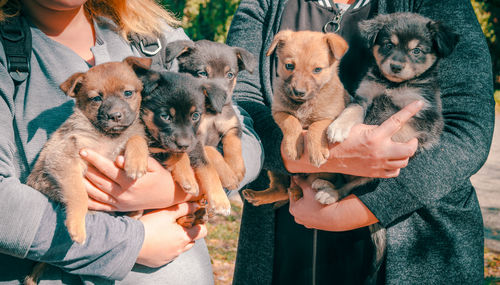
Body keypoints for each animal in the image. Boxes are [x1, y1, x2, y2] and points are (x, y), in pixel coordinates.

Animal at [24, 56, 151, 282]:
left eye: (128, 93)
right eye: (96, 98)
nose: (115, 116)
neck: (108, 137)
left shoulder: (123, 141)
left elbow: (135, 137)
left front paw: (136, 161)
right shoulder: (65, 158)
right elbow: (78, 194)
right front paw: (76, 225)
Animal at [140, 69, 231, 215]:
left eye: (195, 116)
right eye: (165, 116)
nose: (184, 145)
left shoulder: (195, 144)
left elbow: (207, 166)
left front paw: (220, 200)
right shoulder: (154, 149)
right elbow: (176, 154)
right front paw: (188, 178)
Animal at [241, 30, 348, 205]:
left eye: (317, 69)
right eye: (289, 66)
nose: (299, 92)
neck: (303, 104)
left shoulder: (331, 116)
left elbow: (316, 127)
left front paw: (317, 150)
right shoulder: (279, 111)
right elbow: (291, 122)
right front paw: (293, 146)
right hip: (276, 170)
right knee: (281, 189)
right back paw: (258, 196)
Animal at [324, 12, 458, 276]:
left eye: (417, 51)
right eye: (388, 45)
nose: (396, 66)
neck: (392, 85)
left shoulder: (423, 116)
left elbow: (398, 131)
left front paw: (378, 151)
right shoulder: (364, 96)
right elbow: (351, 111)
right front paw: (338, 127)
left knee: (354, 186)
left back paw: (330, 192)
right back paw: (325, 186)